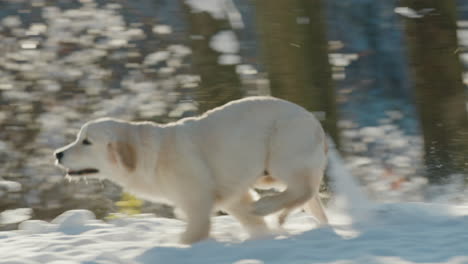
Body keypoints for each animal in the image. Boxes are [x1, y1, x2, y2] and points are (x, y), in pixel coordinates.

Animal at [54, 96, 328, 243]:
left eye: (86, 142)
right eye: (79, 138)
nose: (57, 154)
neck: (150, 154)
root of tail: (315, 122)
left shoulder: (197, 199)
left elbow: (195, 231)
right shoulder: (233, 196)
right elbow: (250, 221)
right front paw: (263, 238)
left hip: (282, 153)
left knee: (303, 188)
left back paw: (267, 207)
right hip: (269, 173)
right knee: (308, 194)